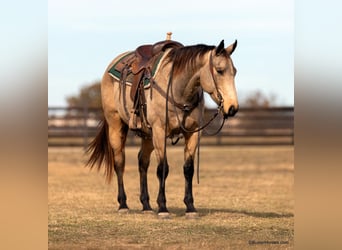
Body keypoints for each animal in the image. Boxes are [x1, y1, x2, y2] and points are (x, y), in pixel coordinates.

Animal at [87, 38, 239, 218]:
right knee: (119, 163)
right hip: (116, 126)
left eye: (234, 72)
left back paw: (146, 205)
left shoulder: (193, 133)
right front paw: (163, 208)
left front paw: (190, 207)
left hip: (147, 135)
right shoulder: (160, 132)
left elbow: (188, 169)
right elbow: (162, 169)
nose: (232, 108)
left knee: (142, 163)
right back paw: (123, 204)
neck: (178, 90)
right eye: (220, 70)